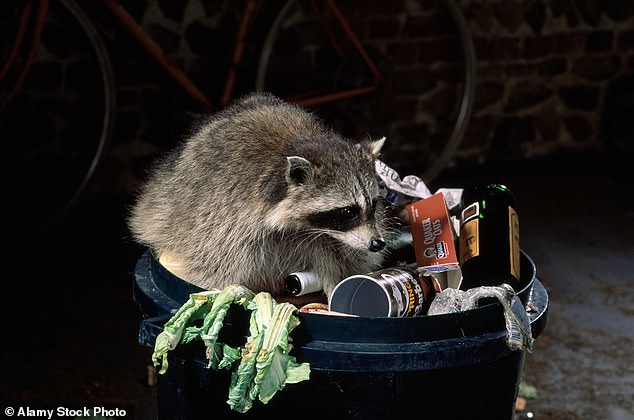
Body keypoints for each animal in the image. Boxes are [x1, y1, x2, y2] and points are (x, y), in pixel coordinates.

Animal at [129, 93, 390, 296]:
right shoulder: (226, 221)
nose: (377, 243)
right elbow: (214, 265)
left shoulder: (326, 238)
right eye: (348, 211)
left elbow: (341, 258)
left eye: (374, 204)